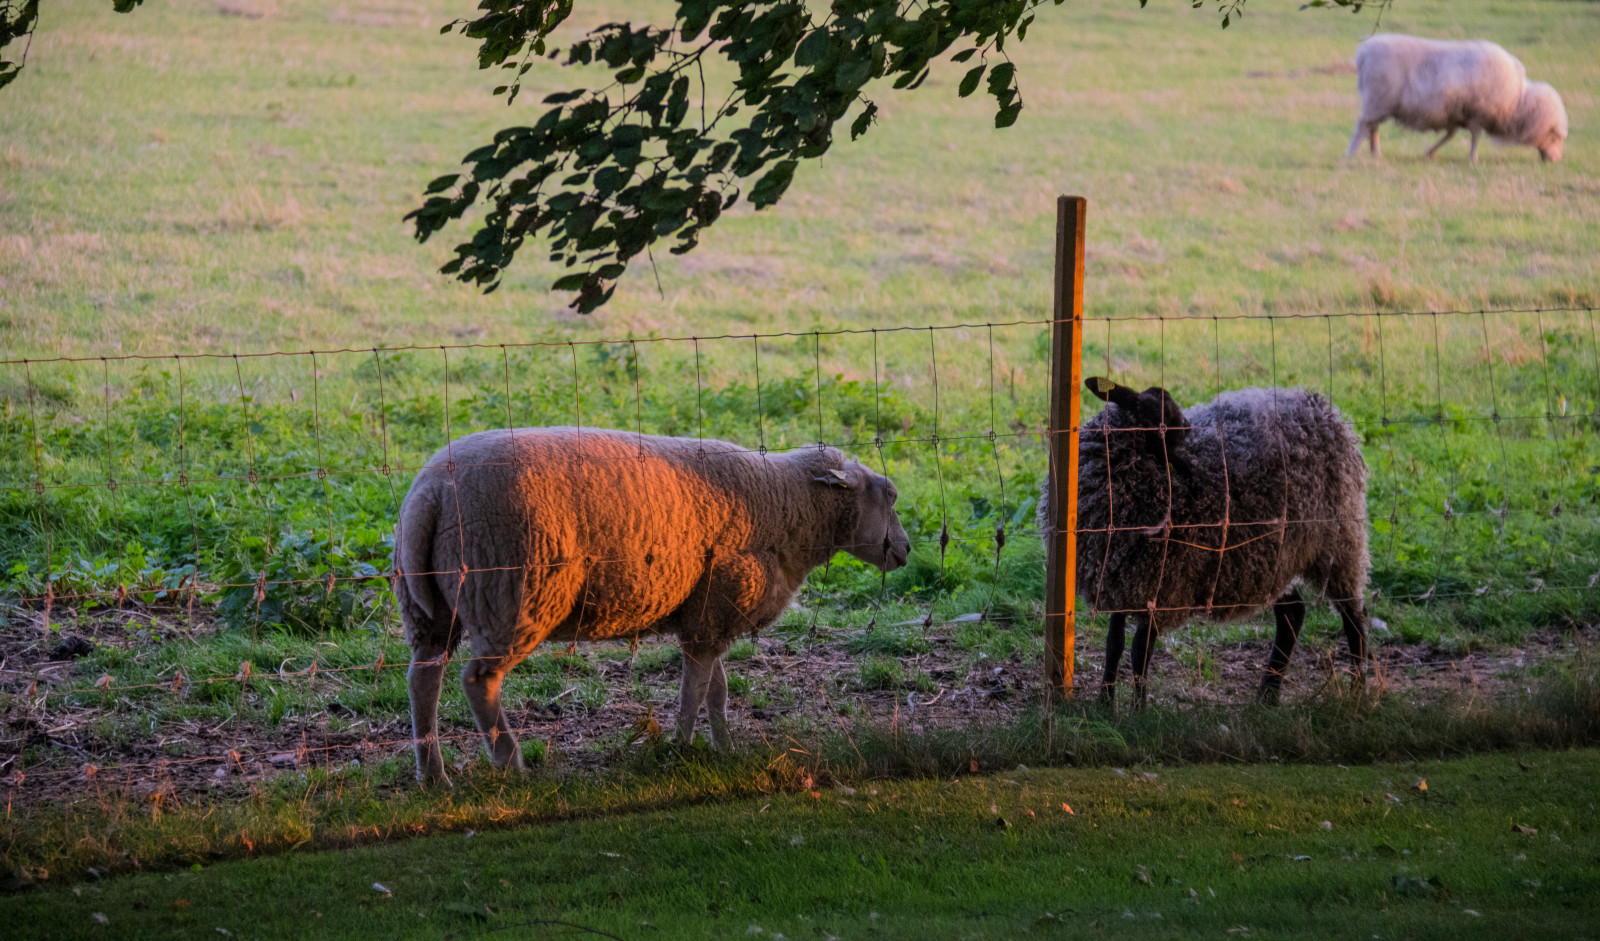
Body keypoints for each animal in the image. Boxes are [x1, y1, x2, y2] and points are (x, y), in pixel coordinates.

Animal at [393, 427, 910, 785]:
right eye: (889, 494)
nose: (905, 550)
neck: (785, 504)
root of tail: (430, 494)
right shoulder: (716, 607)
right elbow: (694, 691)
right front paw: (682, 746)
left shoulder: (707, 615)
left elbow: (716, 689)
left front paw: (724, 747)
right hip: (512, 593)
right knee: (478, 681)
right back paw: (509, 762)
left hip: (430, 608)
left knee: (423, 679)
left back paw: (433, 774)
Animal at [1041, 378, 1370, 706]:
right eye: (1161, 417)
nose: (1189, 434)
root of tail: (1317, 405)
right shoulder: (1119, 583)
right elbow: (1114, 644)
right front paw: (1106, 704)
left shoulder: (1163, 585)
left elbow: (1140, 650)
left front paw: (1138, 708)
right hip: (1273, 560)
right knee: (1293, 613)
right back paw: (1267, 694)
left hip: (1340, 544)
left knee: (1354, 617)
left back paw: (1357, 691)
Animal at [1346, 34, 1567, 163]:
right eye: (1555, 137)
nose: (1555, 160)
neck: (1517, 101)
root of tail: (1364, 50)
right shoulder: (1478, 113)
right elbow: (1475, 137)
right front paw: (1473, 158)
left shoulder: (1454, 114)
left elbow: (1450, 135)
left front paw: (1430, 152)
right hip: (1377, 99)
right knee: (1363, 125)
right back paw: (1352, 153)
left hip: (1379, 103)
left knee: (1373, 127)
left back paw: (1375, 153)